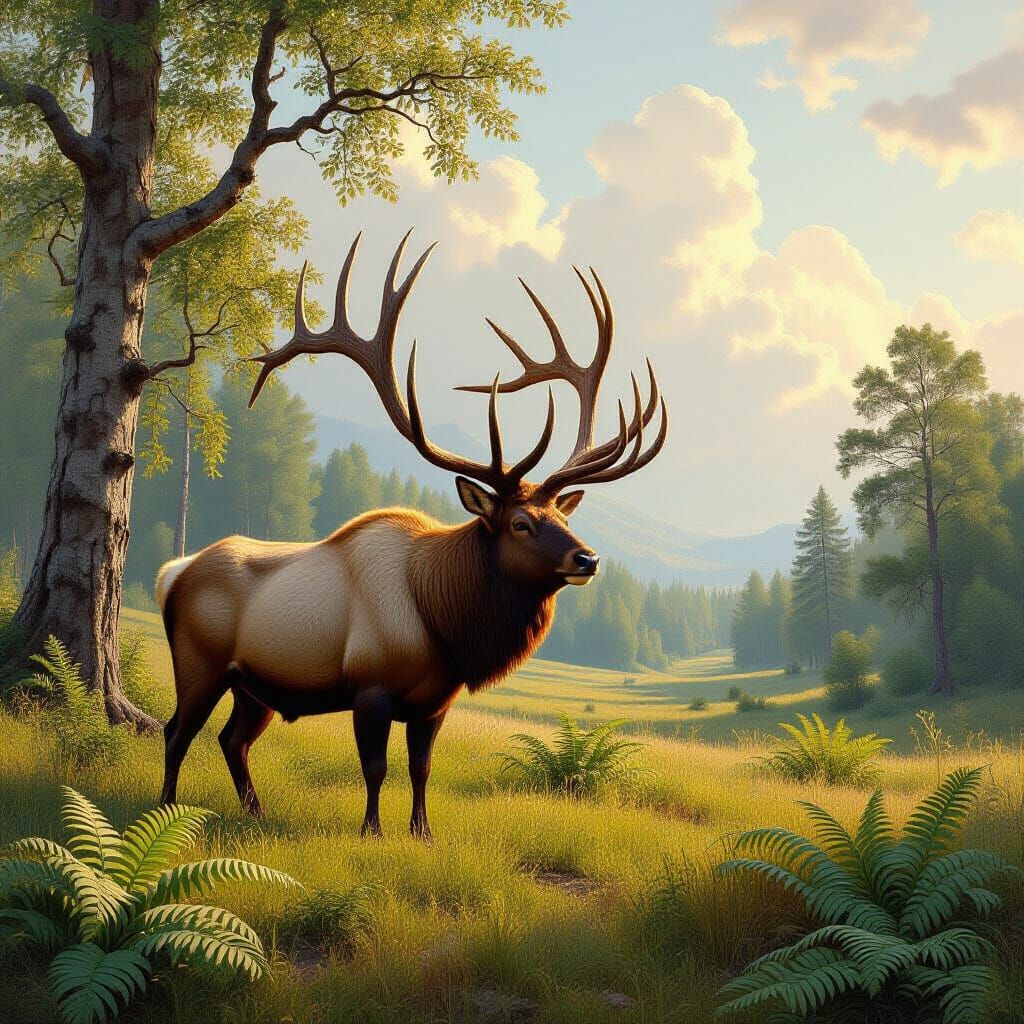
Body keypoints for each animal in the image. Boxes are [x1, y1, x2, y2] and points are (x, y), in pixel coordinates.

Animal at [156, 231, 667, 839]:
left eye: (565, 519)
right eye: (520, 523)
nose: (587, 559)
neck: (444, 622)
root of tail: (172, 574)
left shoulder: (435, 702)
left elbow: (421, 769)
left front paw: (422, 832)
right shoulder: (370, 688)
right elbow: (375, 768)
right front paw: (371, 832)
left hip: (252, 685)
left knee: (232, 740)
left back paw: (254, 811)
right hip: (199, 662)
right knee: (176, 731)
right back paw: (163, 805)